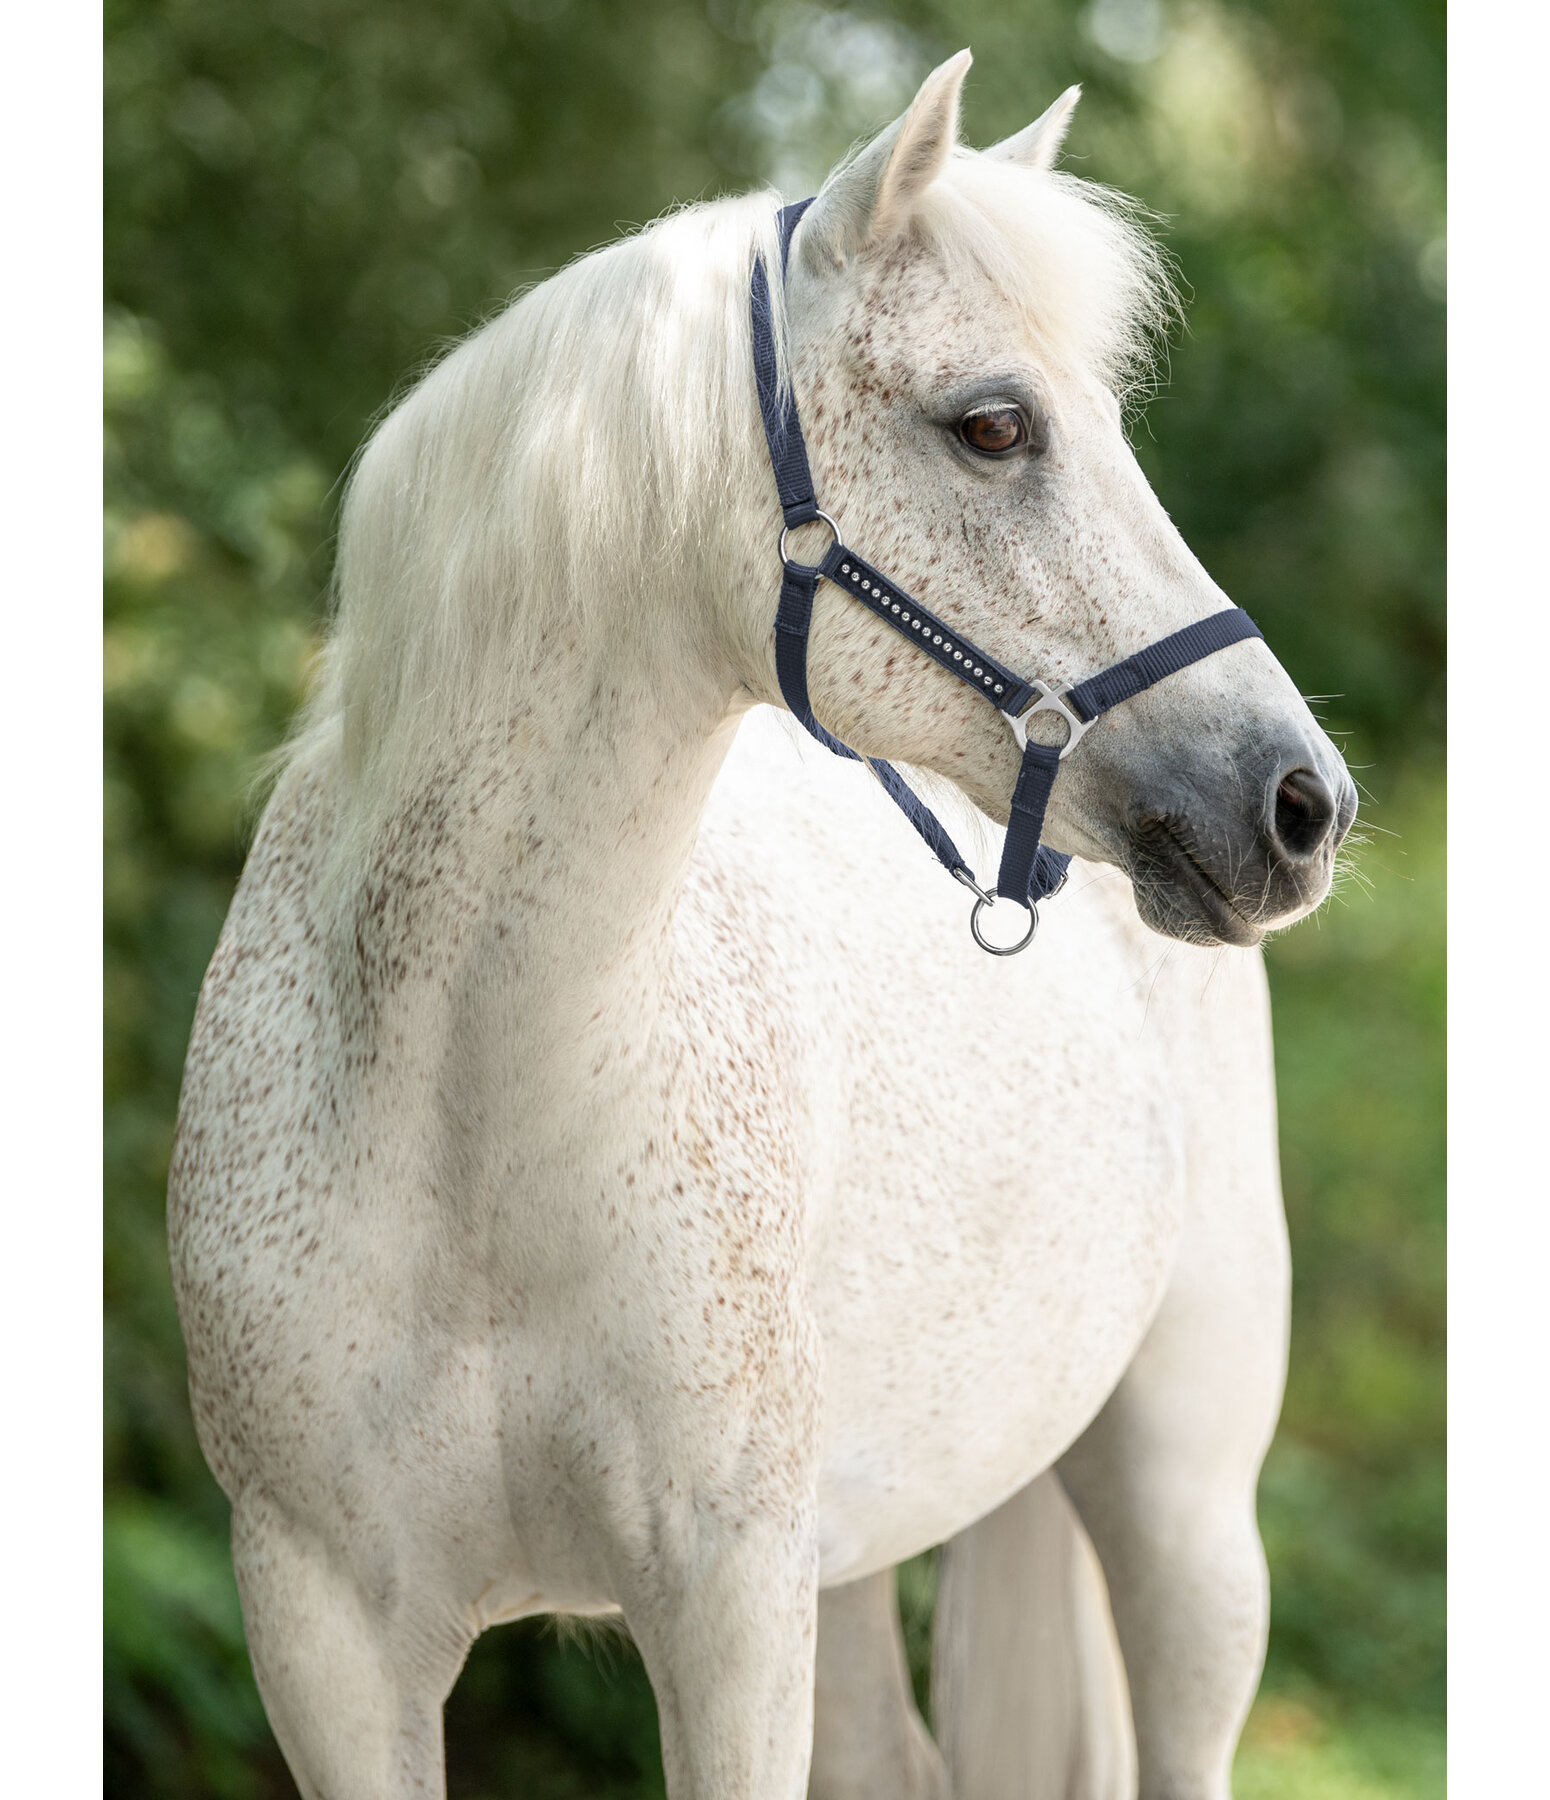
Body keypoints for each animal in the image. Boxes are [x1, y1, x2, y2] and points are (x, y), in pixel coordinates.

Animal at [171, 52, 1353, 1800]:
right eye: (992, 425)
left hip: (1182, 1518)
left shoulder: (728, 1610)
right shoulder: (326, 1639)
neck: (464, 1109)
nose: (1297, 803)